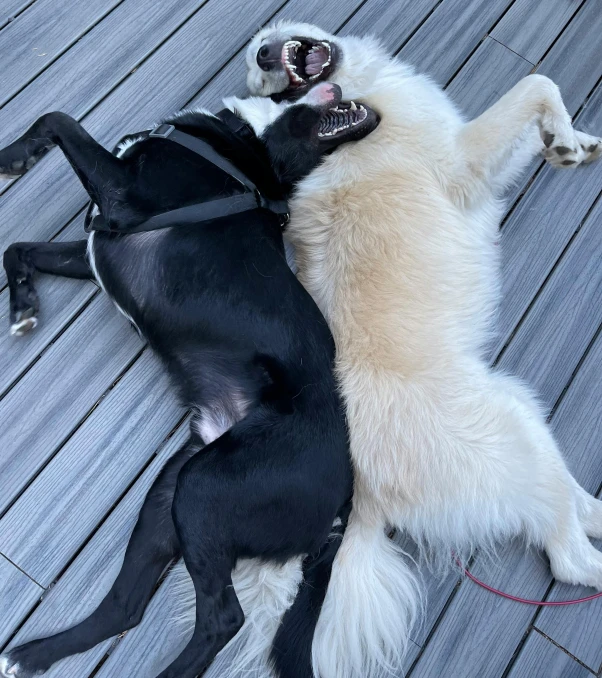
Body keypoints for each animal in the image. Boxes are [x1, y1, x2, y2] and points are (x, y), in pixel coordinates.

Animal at [0, 81, 376, 678]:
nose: (365, 106)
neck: (246, 148)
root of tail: (347, 497)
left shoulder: (123, 198)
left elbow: (55, 118)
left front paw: (10, 159)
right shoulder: (96, 244)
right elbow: (19, 248)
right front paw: (23, 307)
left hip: (204, 491)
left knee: (224, 619)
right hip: (172, 493)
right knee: (126, 608)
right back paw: (35, 654)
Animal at [240, 21, 602, 678]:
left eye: (265, 63)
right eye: (271, 91)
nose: (264, 53)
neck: (364, 93)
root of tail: (362, 501)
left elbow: (542, 105)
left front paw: (572, 142)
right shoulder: (463, 159)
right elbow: (539, 83)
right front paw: (562, 135)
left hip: (523, 417)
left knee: (575, 508)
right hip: (512, 433)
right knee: (571, 557)